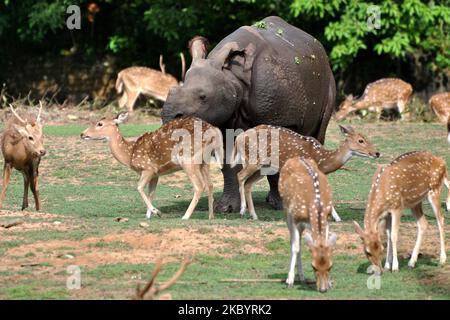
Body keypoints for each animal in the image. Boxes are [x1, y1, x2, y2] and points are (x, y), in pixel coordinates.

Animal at [81, 113, 223, 220]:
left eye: (100, 123)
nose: (82, 134)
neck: (130, 154)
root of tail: (214, 131)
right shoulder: (156, 174)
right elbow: (151, 193)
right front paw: (149, 215)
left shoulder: (148, 168)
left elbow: (139, 187)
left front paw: (157, 212)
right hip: (204, 161)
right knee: (210, 184)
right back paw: (211, 216)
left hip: (188, 159)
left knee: (199, 185)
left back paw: (185, 216)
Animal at [232, 124, 380, 220]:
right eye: (361, 140)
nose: (377, 153)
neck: (321, 159)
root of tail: (238, 138)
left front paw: (337, 218)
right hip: (253, 160)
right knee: (240, 176)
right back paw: (242, 210)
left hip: (264, 168)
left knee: (248, 184)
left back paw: (254, 215)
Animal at [280, 157, 336, 292]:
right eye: (313, 266)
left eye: (330, 266)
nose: (323, 289)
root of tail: (296, 158)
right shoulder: (295, 219)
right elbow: (295, 247)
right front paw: (290, 281)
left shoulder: (327, 218)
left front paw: (330, 283)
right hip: (286, 210)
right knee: (294, 242)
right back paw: (296, 278)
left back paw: (302, 277)